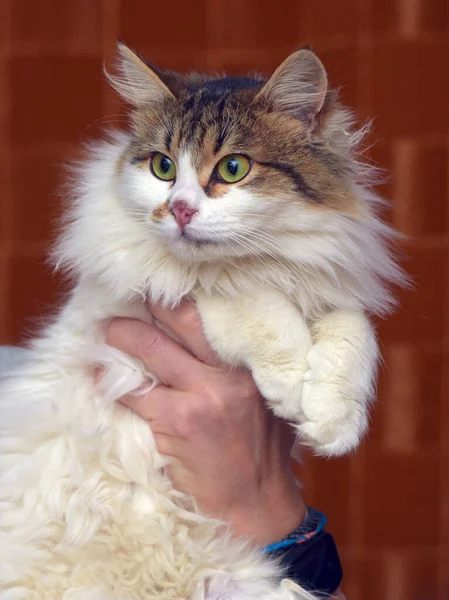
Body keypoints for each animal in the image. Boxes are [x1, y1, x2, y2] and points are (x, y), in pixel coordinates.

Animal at [0, 44, 402, 596]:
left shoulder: (325, 289)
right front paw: (290, 383)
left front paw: (333, 422)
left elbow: (352, 333)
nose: (180, 210)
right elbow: (248, 300)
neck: (262, 261)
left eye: (233, 168)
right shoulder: (157, 290)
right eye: (162, 167)